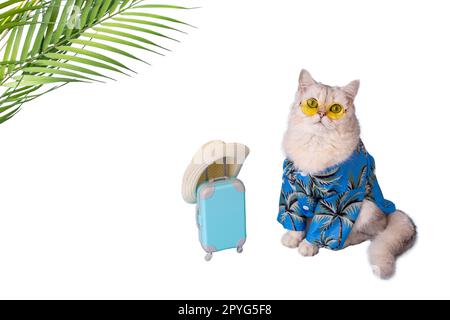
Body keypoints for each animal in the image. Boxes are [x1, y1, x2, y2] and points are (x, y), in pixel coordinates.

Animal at [280, 69, 416, 278]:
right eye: (312, 104)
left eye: (335, 109)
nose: (321, 114)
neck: (316, 143)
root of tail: (389, 213)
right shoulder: (292, 188)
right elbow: (295, 218)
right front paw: (293, 237)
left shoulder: (337, 199)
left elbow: (321, 228)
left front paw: (308, 246)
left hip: (365, 208)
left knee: (366, 234)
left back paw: (342, 243)